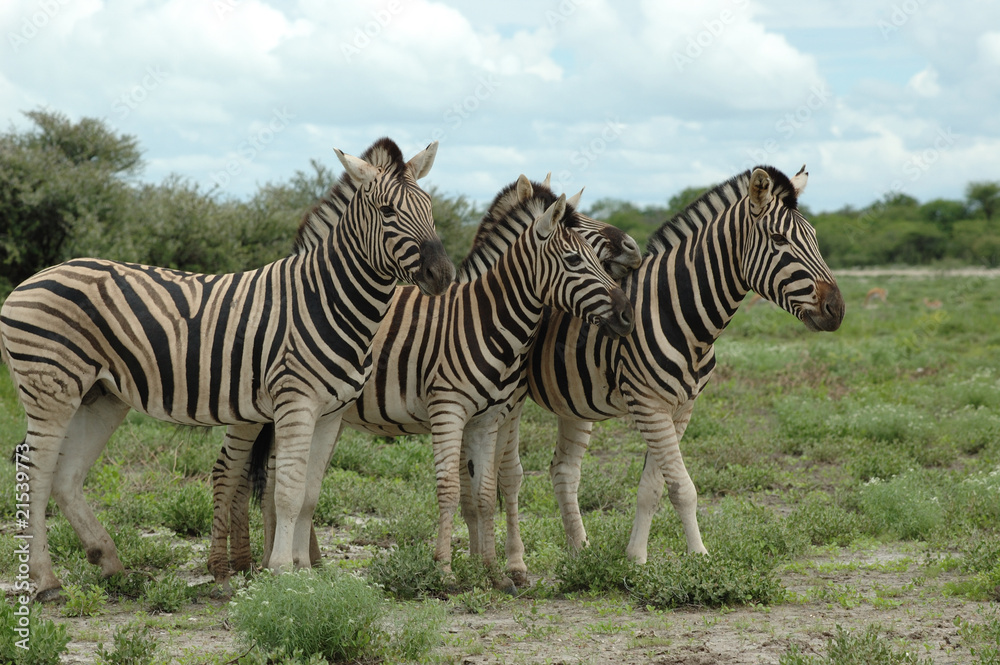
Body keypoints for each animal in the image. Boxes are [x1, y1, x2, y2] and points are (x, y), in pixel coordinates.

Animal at [0, 137, 454, 601]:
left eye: (429, 207)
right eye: (388, 211)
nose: (442, 275)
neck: (327, 300)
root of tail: (27, 282)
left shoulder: (331, 412)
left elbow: (310, 494)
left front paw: (305, 574)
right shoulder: (297, 401)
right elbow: (287, 493)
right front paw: (282, 572)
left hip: (101, 396)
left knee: (66, 476)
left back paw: (111, 566)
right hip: (52, 387)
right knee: (34, 470)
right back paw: (47, 582)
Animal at [211, 176, 639, 589]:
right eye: (577, 245)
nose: (626, 313)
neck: (483, 317)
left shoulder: (496, 412)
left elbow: (484, 489)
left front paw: (488, 567)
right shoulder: (461, 408)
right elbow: (473, 484)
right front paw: (463, 569)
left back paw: (269, 561)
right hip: (251, 408)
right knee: (232, 472)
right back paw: (236, 566)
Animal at [459, 166, 845, 570]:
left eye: (814, 237)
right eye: (778, 239)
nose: (836, 309)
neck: (679, 312)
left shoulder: (681, 408)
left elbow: (653, 487)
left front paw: (636, 559)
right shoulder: (649, 404)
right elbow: (683, 488)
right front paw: (700, 558)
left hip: (573, 400)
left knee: (562, 471)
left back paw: (580, 553)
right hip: (507, 401)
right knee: (501, 473)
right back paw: (498, 561)